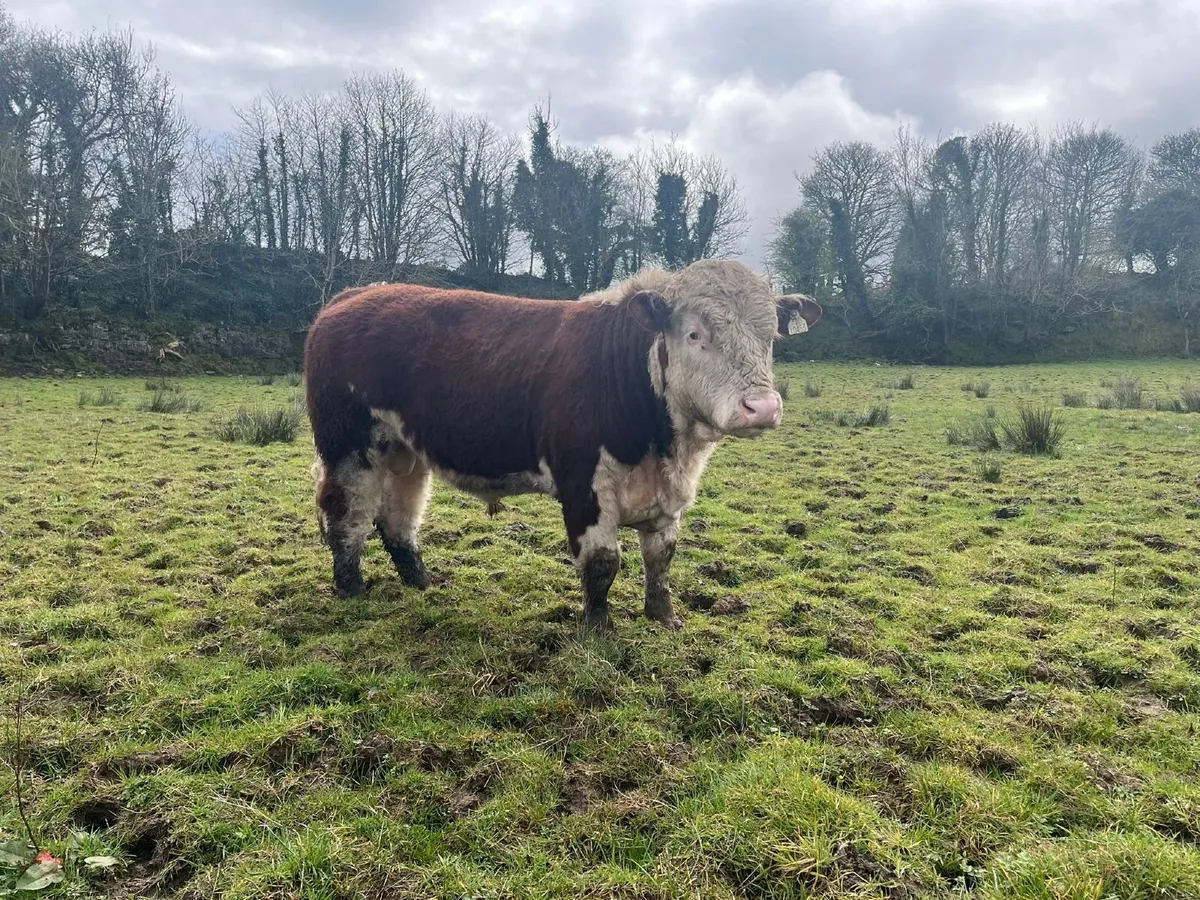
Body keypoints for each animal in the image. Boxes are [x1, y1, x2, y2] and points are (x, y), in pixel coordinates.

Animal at [303, 259, 822, 633]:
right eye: (694, 334)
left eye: (770, 337)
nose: (762, 407)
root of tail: (357, 294)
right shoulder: (584, 484)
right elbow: (602, 562)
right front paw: (598, 630)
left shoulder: (668, 496)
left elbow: (661, 557)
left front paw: (664, 618)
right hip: (349, 447)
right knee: (347, 515)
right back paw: (351, 591)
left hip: (405, 452)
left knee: (398, 520)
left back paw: (423, 585)